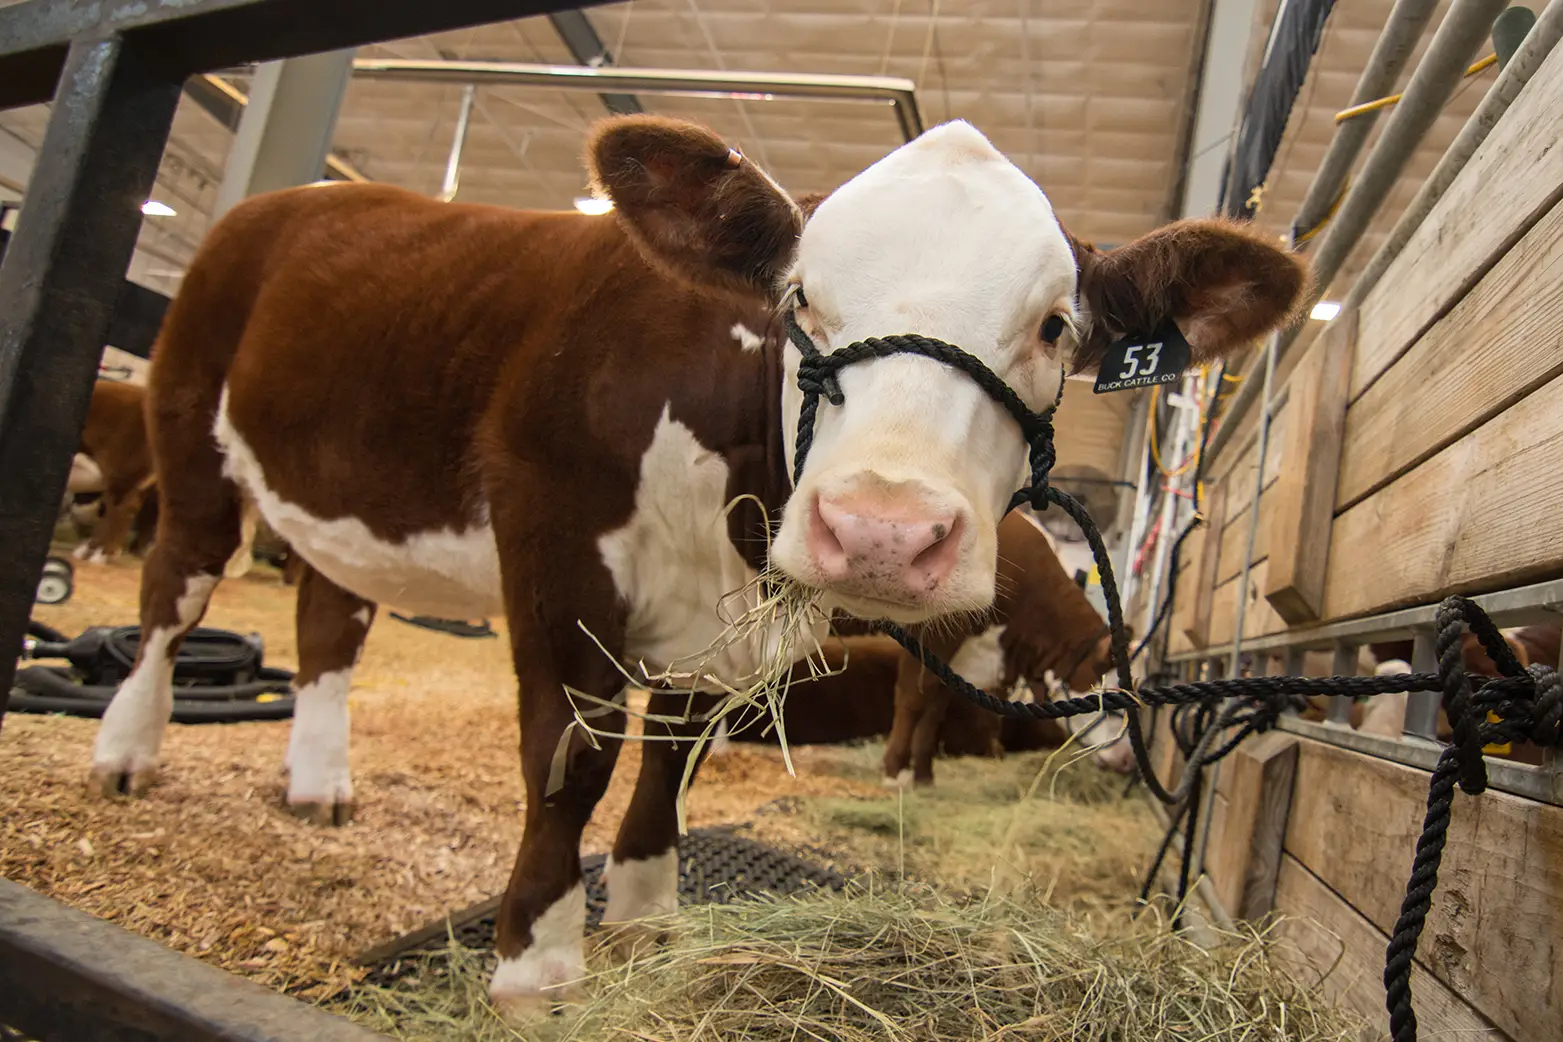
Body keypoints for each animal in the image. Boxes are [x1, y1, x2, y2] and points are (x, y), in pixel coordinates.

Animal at [83, 114, 1306, 1012]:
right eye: (798, 295)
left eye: (1055, 326)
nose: (882, 531)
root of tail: (301, 195)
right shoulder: (554, 542)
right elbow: (574, 755)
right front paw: (538, 961)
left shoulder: (715, 624)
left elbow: (672, 759)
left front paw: (645, 912)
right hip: (189, 428)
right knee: (173, 587)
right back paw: (126, 751)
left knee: (331, 621)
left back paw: (318, 781)